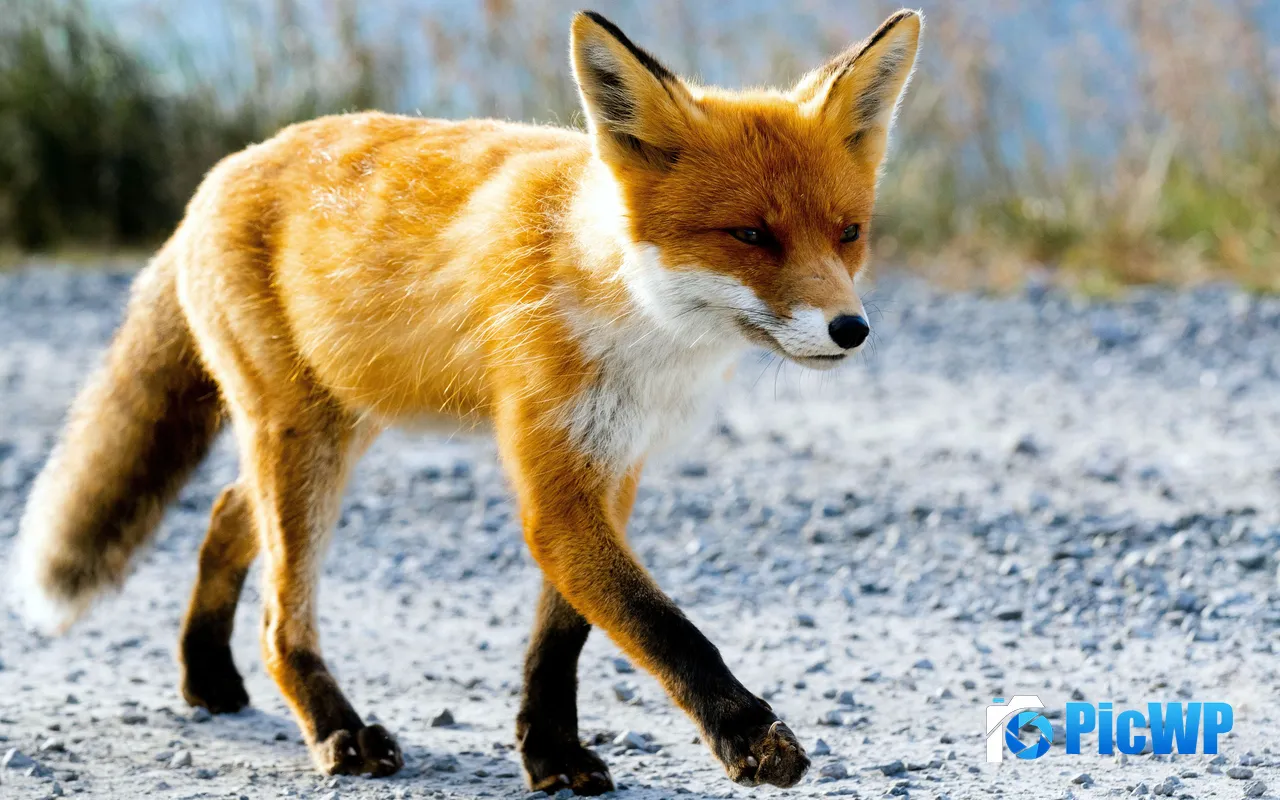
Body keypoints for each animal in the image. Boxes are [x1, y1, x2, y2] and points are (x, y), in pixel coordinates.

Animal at [11, 8, 921, 795]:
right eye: (751, 236)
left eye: (848, 233)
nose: (852, 329)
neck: (628, 312)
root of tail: (224, 169)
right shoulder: (556, 479)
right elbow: (661, 625)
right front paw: (748, 737)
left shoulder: (612, 464)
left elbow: (564, 635)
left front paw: (550, 753)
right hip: (305, 440)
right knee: (278, 610)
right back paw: (337, 730)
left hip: (338, 425)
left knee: (229, 512)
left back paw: (207, 674)